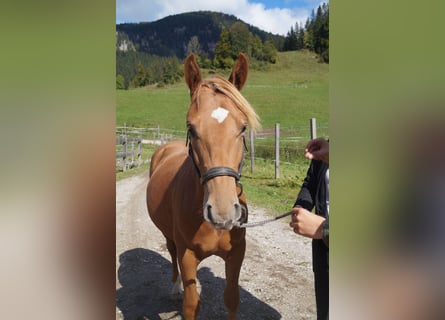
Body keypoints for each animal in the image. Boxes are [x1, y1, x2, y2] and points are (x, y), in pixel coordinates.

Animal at [146, 53, 260, 318]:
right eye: (191, 127)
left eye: (243, 127)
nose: (222, 212)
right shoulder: (188, 255)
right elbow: (191, 303)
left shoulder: (236, 254)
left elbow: (232, 299)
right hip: (169, 236)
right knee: (172, 253)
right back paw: (175, 287)